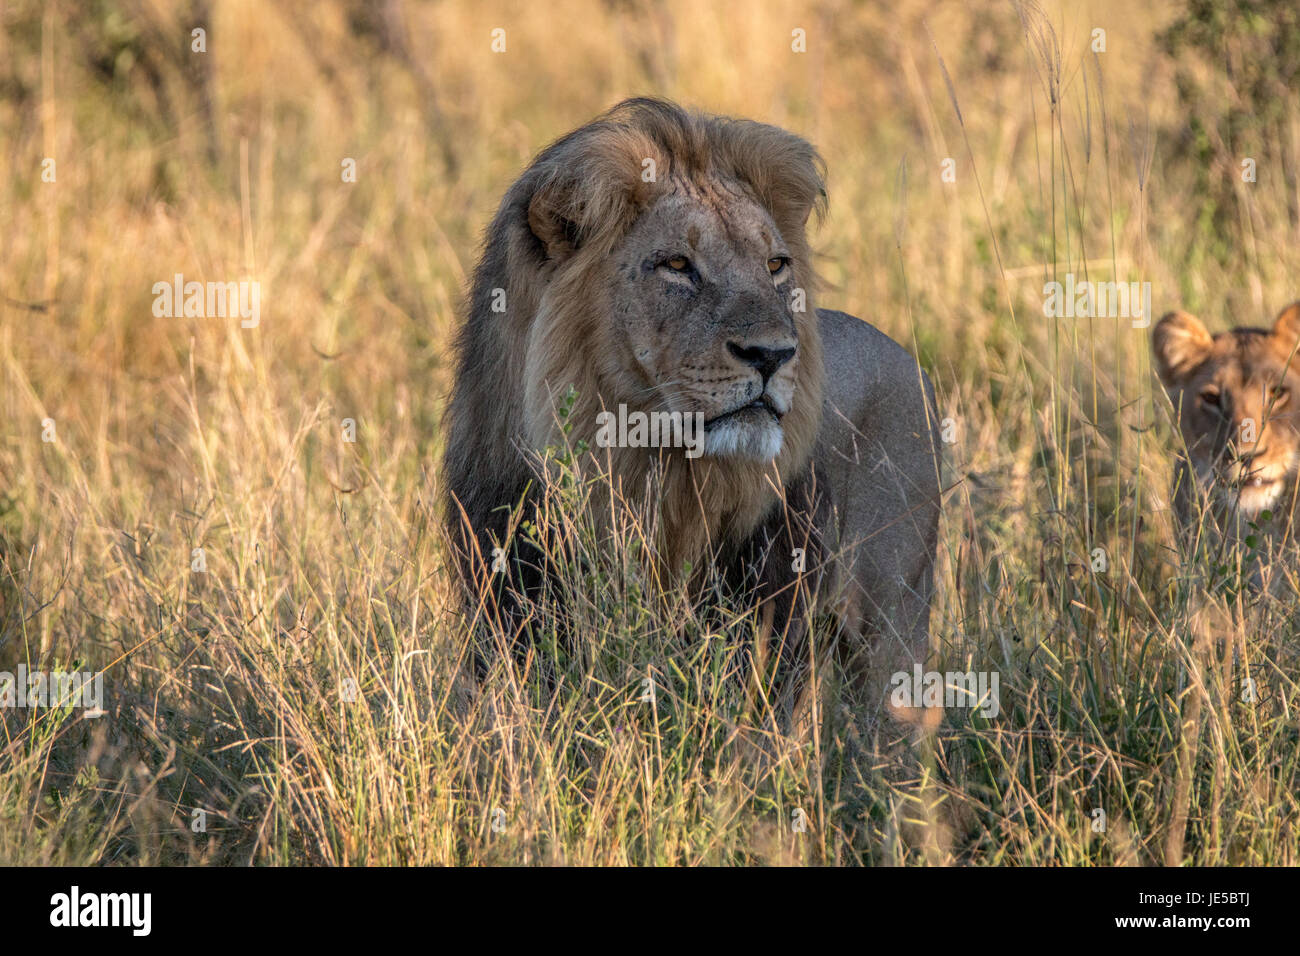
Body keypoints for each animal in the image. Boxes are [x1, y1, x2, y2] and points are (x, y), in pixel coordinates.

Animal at [442, 98, 942, 716]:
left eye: (775, 265)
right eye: (678, 265)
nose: (773, 354)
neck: (652, 470)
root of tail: (910, 360)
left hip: (892, 623)